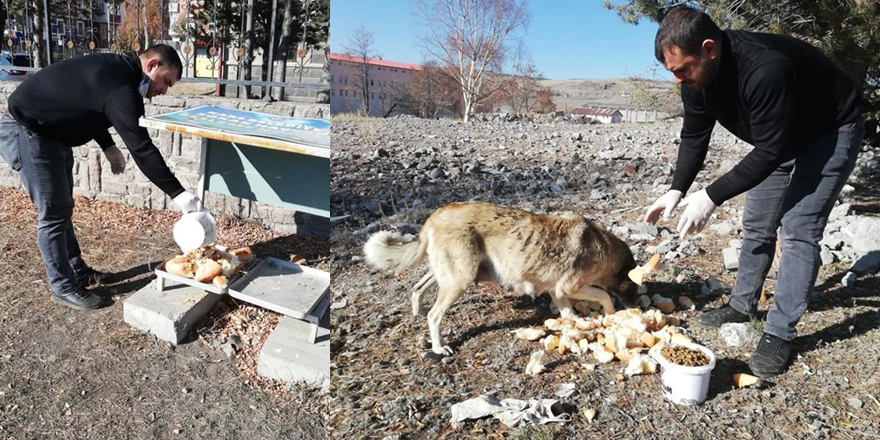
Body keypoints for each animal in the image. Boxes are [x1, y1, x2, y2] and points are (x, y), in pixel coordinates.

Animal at [364, 201, 640, 356]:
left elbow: (567, 312)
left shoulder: (558, 291)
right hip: (460, 278)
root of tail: (435, 216)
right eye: (634, 289)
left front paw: (575, 322)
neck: (604, 247)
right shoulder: (569, 287)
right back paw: (438, 346)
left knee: (417, 288)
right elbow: (604, 294)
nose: (635, 307)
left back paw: (418, 312)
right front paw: (611, 313)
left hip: (446, 272)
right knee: (435, 314)